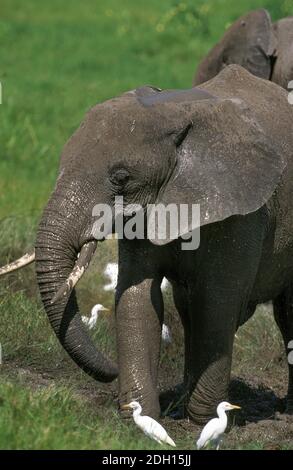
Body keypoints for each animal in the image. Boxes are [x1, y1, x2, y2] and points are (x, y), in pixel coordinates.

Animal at [1, 64, 292, 424]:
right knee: (187, 307)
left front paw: (205, 420)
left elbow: (217, 302)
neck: (173, 111)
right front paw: (140, 418)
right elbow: (138, 296)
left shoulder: (241, 209)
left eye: (121, 178)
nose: (110, 369)